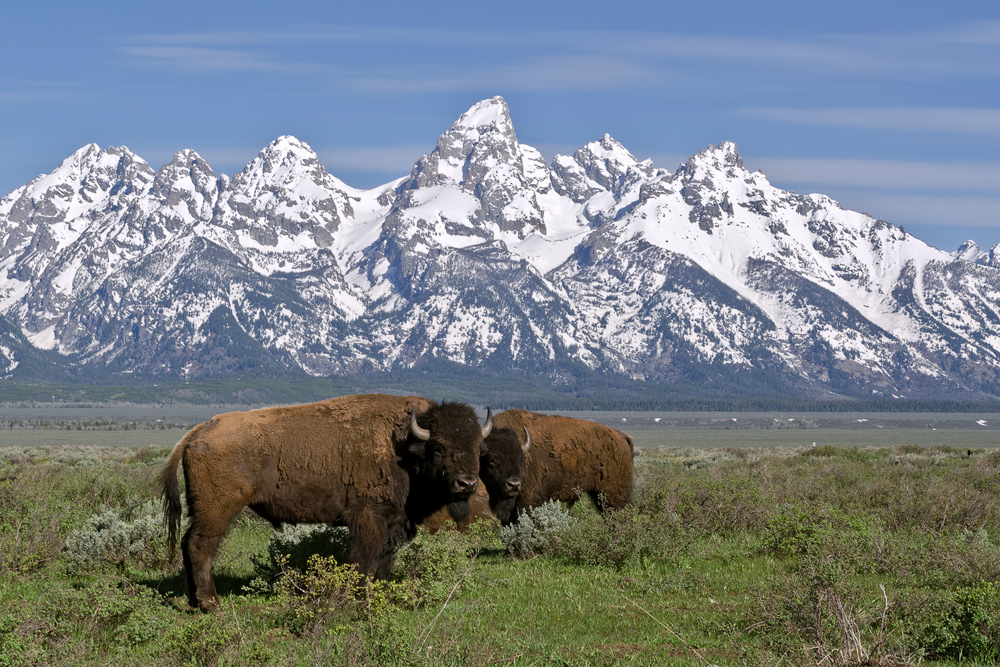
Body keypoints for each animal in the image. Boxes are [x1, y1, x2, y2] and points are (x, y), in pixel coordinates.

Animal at [160, 394, 492, 612]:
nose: (467, 483)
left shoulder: (393, 523)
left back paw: (193, 601)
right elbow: (364, 560)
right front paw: (358, 601)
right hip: (218, 509)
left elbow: (383, 563)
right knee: (200, 546)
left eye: (478, 446)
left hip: (202, 509)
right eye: (438, 448)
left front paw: (382, 598)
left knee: (189, 544)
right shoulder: (369, 519)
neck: (404, 446)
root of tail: (200, 429)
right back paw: (210, 603)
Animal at [492, 410, 632, 524]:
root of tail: (621, 436)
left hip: (612, 495)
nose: (512, 483)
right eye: (492, 459)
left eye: (518, 458)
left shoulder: (527, 501)